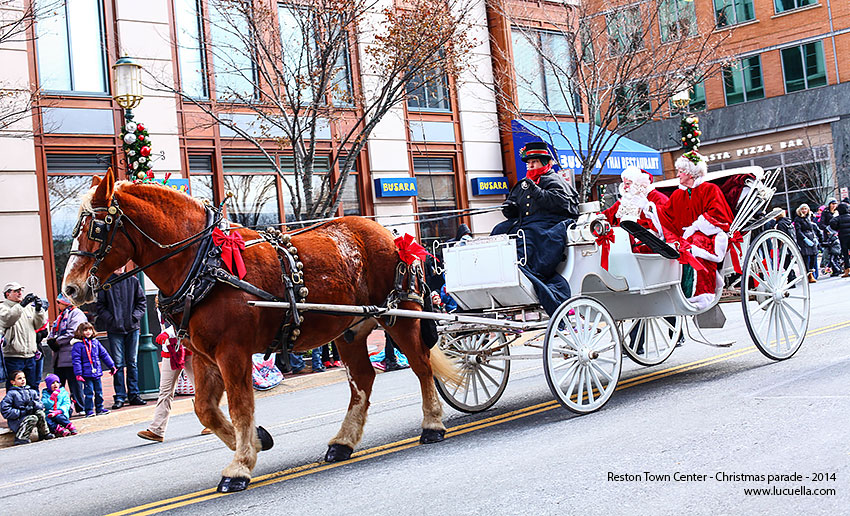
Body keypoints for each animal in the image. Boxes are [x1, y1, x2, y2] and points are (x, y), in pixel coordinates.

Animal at [61, 168, 458, 492]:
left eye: (96, 228)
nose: (70, 289)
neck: (204, 265)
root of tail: (391, 234)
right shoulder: (203, 355)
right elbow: (205, 409)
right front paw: (257, 440)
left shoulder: (232, 352)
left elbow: (240, 406)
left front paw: (239, 466)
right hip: (352, 329)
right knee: (363, 380)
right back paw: (342, 442)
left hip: (401, 316)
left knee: (421, 366)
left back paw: (432, 425)